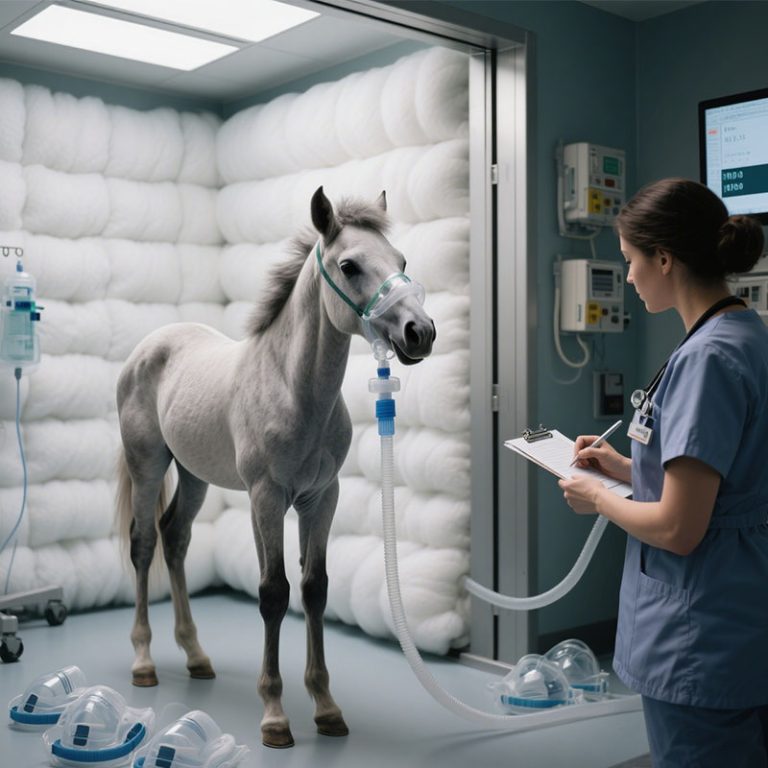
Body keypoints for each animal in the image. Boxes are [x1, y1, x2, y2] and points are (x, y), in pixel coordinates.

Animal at [115, 186, 436, 749]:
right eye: (350, 265)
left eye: (400, 262)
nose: (419, 332)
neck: (293, 389)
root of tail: (150, 346)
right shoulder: (265, 498)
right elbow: (273, 592)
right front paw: (275, 716)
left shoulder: (320, 498)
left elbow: (314, 589)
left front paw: (326, 708)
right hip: (147, 465)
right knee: (143, 544)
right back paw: (144, 662)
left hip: (194, 475)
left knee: (175, 538)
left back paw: (196, 656)